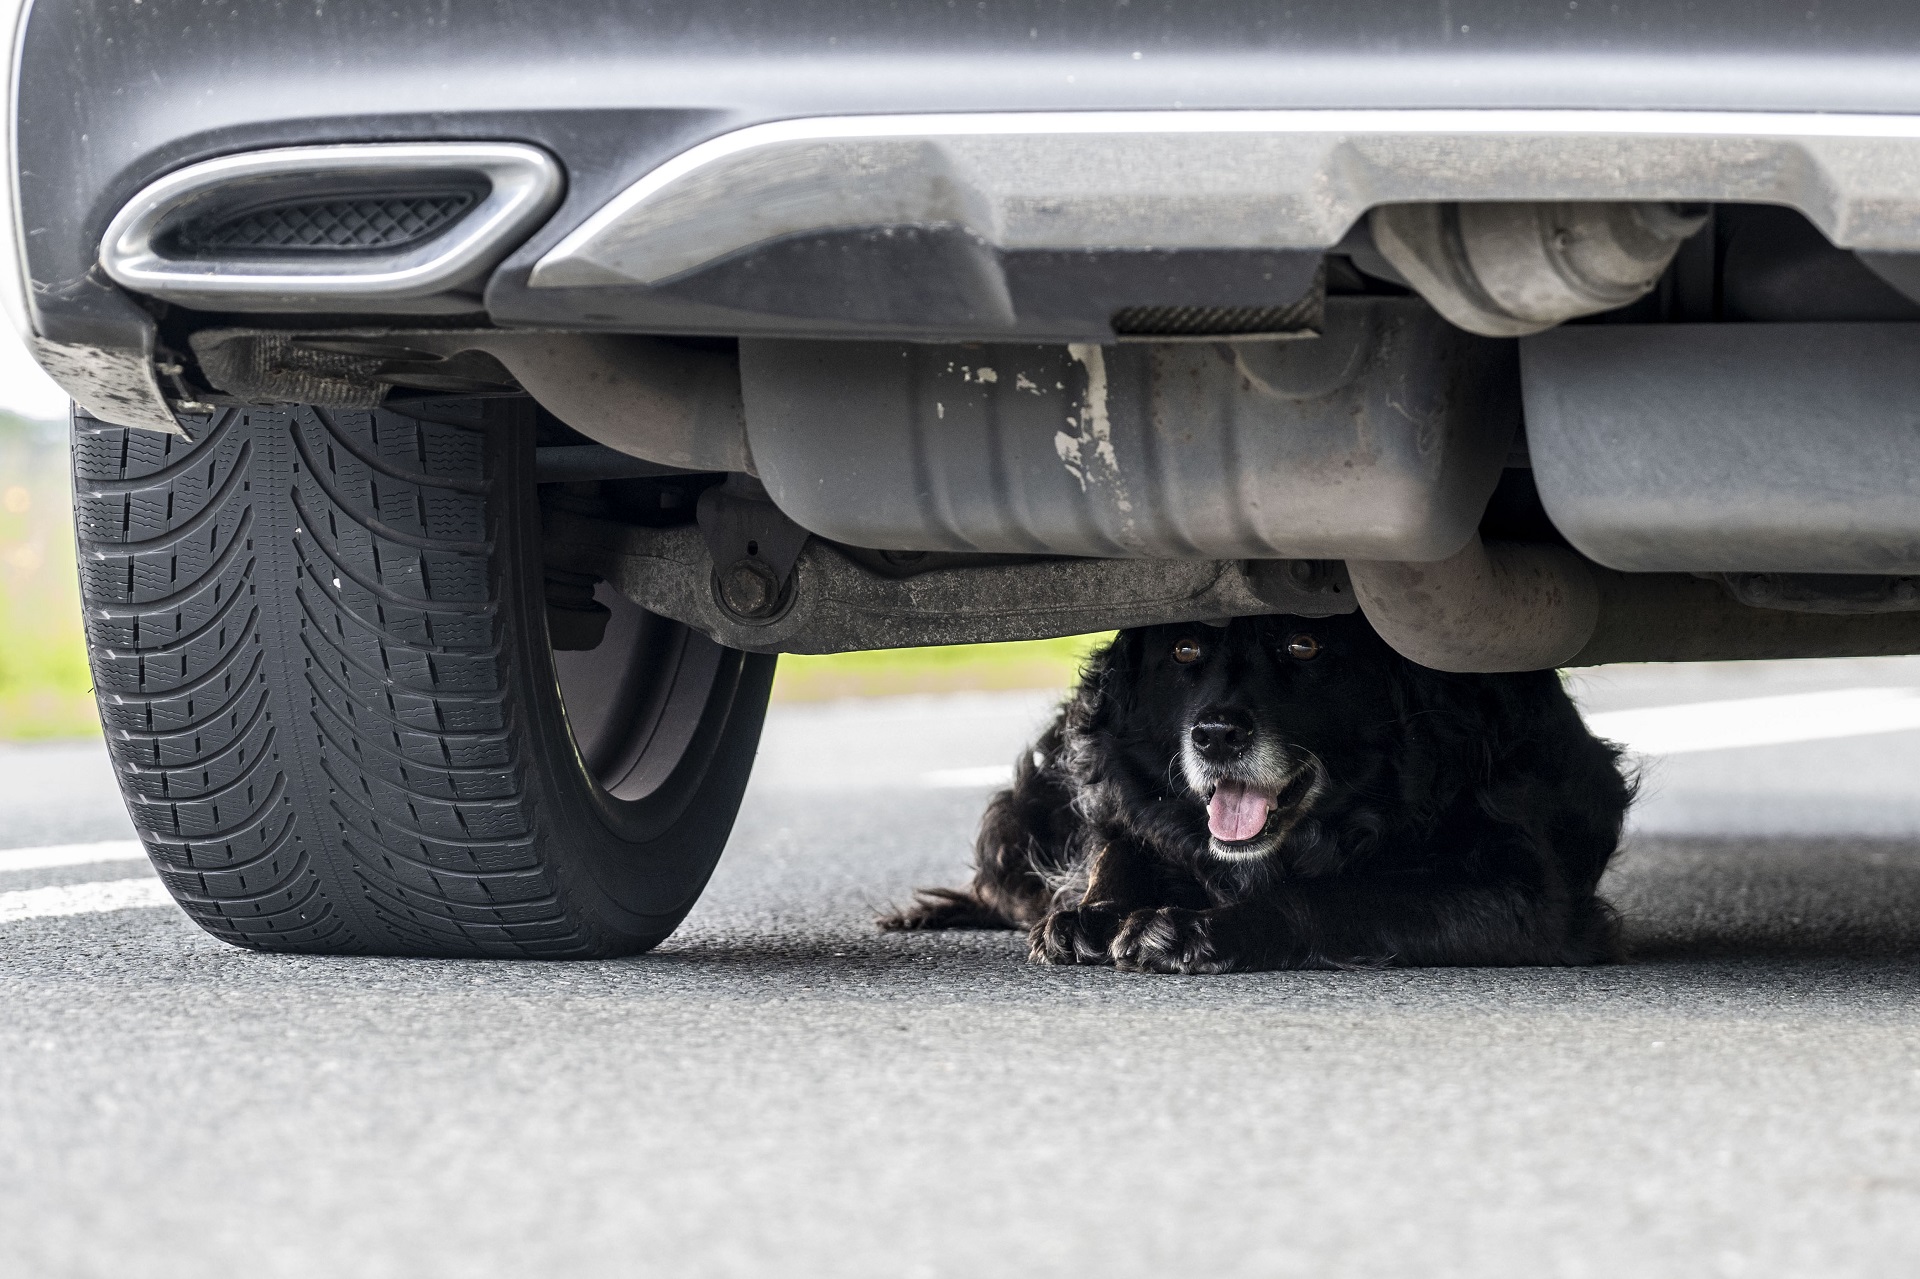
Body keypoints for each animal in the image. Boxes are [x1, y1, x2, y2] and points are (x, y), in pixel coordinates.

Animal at [879, 610, 1628, 967]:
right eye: (1185, 650)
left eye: (1304, 645)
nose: (1214, 734)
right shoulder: (1132, 815)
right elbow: (1119, 854)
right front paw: (1092, 915)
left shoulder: (1521, 892)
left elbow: (1342, 894)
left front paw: (1197, 930)